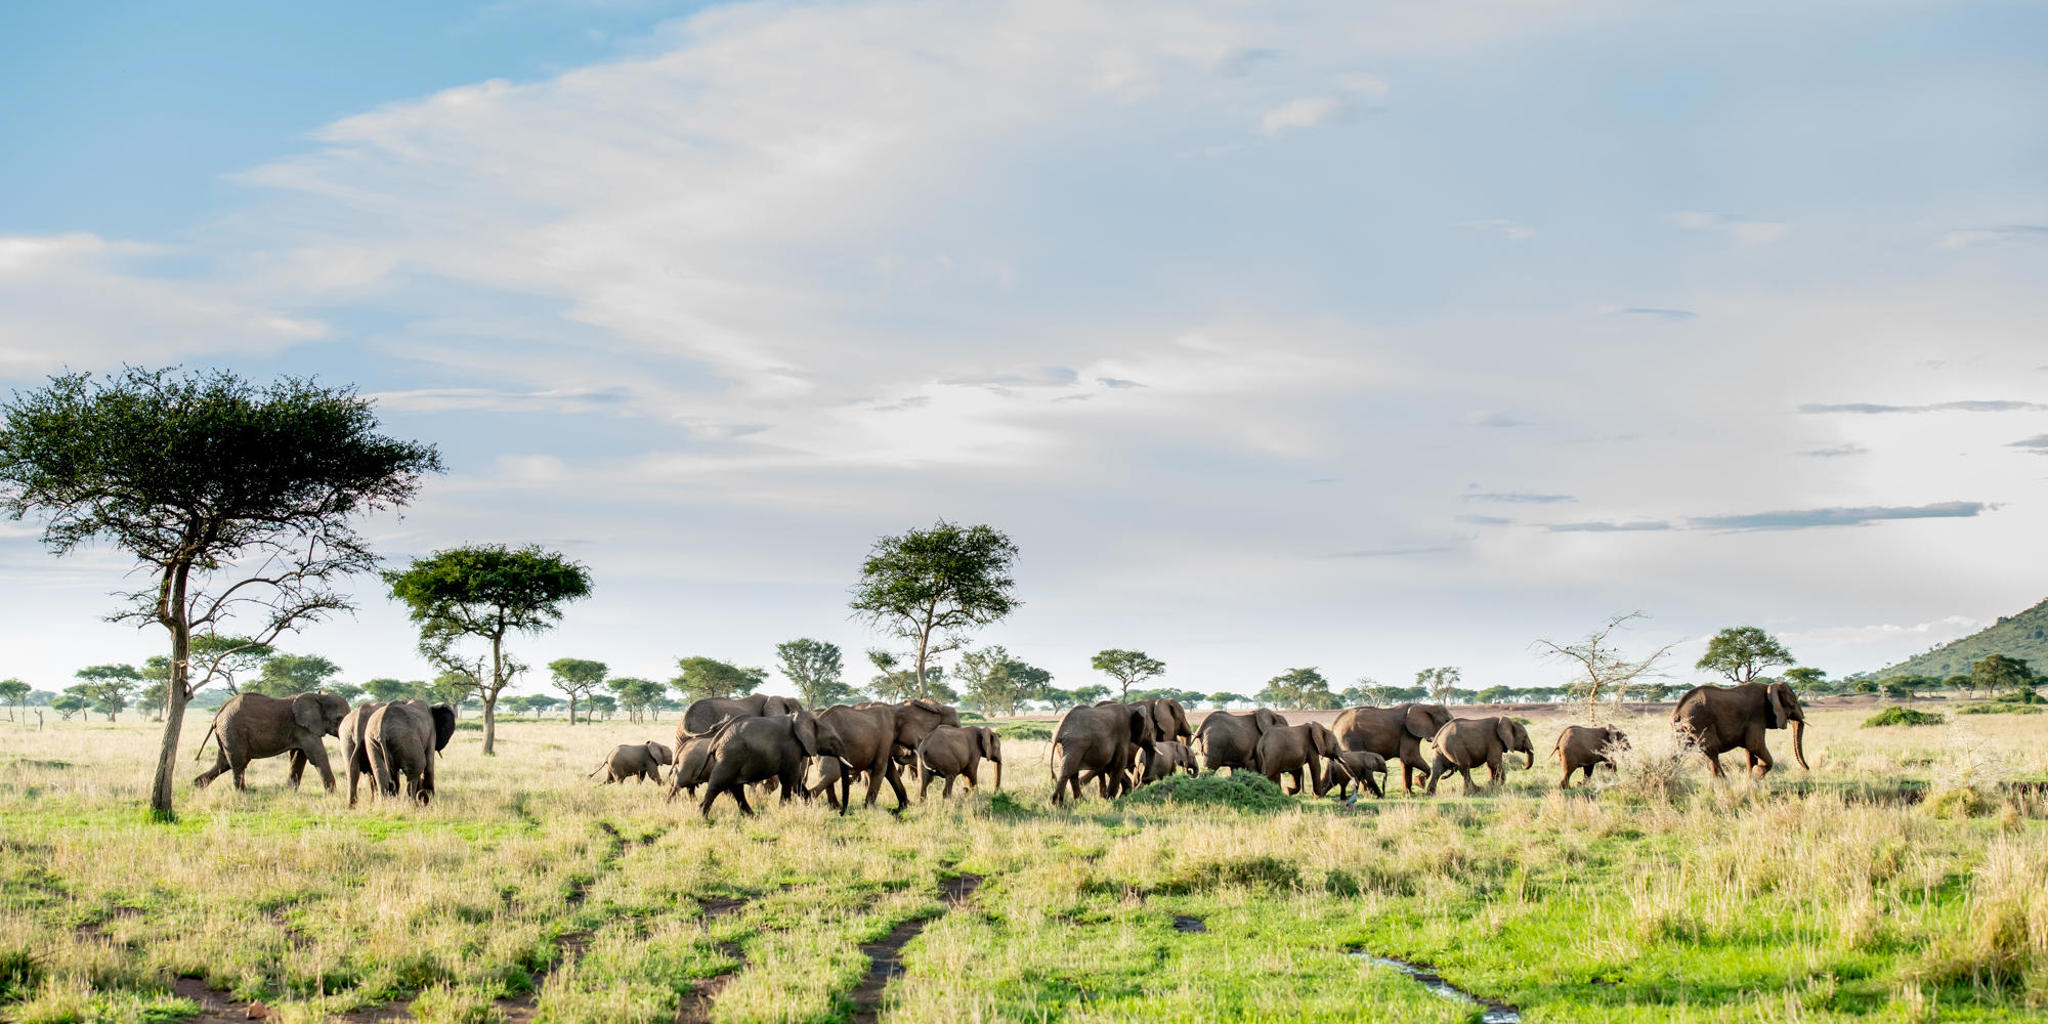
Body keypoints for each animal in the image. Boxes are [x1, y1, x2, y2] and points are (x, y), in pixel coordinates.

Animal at [193, 691, 352, 792]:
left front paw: (290, 792)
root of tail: (218, 714)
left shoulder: (301, 729)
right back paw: (242, 794)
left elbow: (298, 757)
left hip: (226, 734)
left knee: (223, 763)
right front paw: (332, 794)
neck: (318, 696)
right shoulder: (303, 728)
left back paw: (196, 786)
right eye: (338, 718)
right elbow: (317, 756)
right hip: (232, 731)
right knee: (238, 763)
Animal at [688, 711, 845, 819]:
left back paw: (752, 817)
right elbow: (790, 778)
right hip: (729, 757)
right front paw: (783, 810)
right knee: (718, 784)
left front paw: (809, 805)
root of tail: (716, 739)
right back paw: (702, 816)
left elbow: (796, 780)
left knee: (735, 787)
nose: (841, 813)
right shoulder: (791, 748)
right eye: (832, 739)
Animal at [810, 700, 959, 812]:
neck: (896, 708)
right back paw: (810, 801)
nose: (921, 803)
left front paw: (906, 806)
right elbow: (881, 769)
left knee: (827, 776)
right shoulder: (886, 735)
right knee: (831, 775)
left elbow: (890, 771)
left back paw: (834, 807)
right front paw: (870, 809)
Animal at [1672, 681, 1809, 778]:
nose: (1808, 769)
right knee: (1711, 750)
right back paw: (1723, 781)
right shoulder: (1757, 716)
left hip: (1684, 730)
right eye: (1793, 702)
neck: (1768, 687)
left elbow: (1750, 751)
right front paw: (1757, 773)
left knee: (1680, 751)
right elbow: (1754, 745)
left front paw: (1752, 779)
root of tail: (1678, 711)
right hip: (1700, 724)